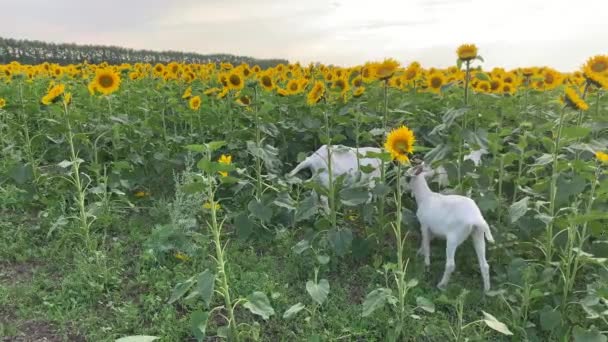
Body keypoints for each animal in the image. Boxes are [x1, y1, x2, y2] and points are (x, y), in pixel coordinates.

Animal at [408, 162, 494, 292]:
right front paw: (419, 254)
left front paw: (426, 264)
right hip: (478, 234)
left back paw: (441, 285)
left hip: (453, 237)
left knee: (450, 264)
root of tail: (476, 218)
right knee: (484, 264)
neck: (425, 197)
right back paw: (486, 290)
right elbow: (425, 243)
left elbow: (426, 244)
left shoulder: (424, 225)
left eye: (406, 176)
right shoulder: (432, 230)